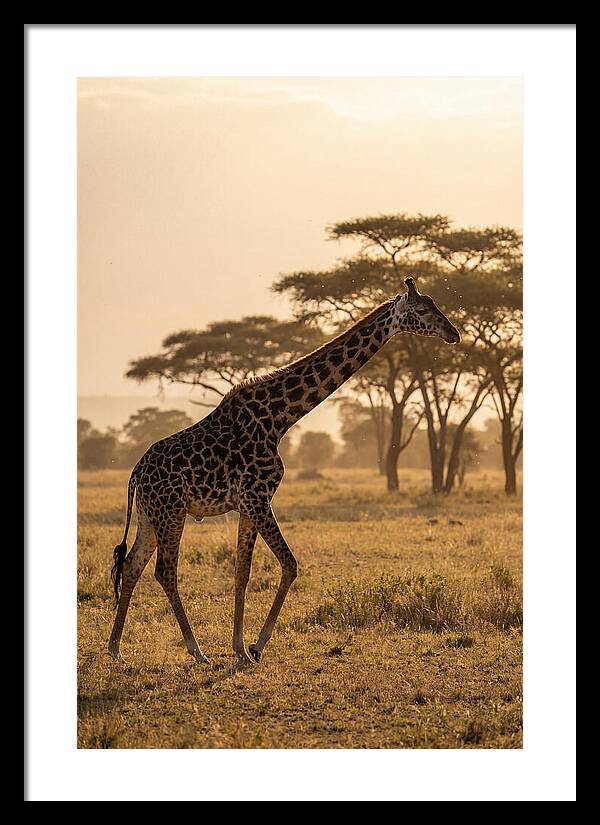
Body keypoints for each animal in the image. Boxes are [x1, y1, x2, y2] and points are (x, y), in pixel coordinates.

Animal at [108, 277, 460, 666]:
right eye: (422, 310)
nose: (454, 334)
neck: (280, 418)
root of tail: (136, 473)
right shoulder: (258, 497)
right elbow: (290, 564)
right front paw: (256, 645)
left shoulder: (248, 505)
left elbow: (242, 571)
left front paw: (240, 649)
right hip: (171, 512)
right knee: (165, 571)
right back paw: (196, 652)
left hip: (150, 515)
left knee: (131, 566)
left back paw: (115, 649)